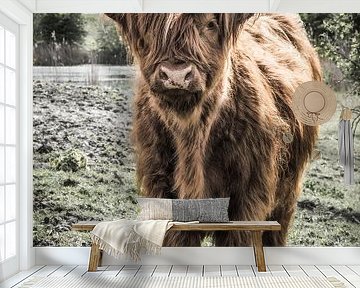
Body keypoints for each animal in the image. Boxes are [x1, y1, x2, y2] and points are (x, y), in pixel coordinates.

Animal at [107, 13, 320, 246]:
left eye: (210, 24)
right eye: (149, 29)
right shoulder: (162, 186)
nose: (176, 75)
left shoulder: (248, 194)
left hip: (289, 184)